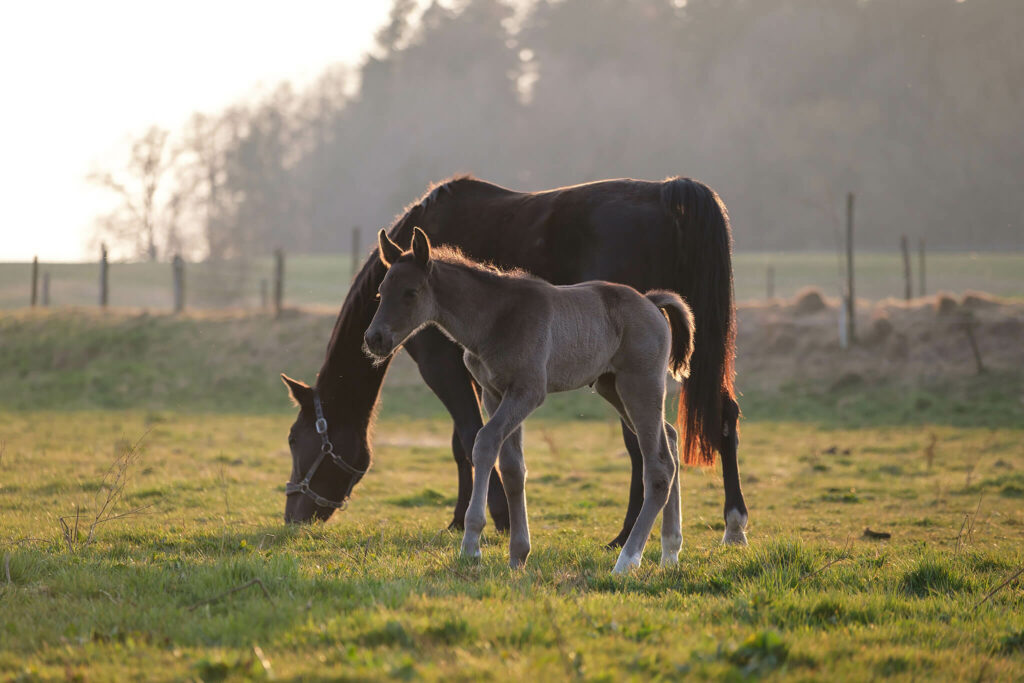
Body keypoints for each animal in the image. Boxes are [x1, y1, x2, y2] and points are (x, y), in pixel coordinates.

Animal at [284, 174, 749, 548]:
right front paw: (483, 519)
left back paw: (629, 536)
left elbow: (467, 438)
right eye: (381, 293)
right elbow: (479, 442)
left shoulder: (441, 365)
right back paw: (731, 525)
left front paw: (481, 520)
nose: (293, 516)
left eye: (296, 440)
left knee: (644, 448)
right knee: (718, 417)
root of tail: (672, 192)